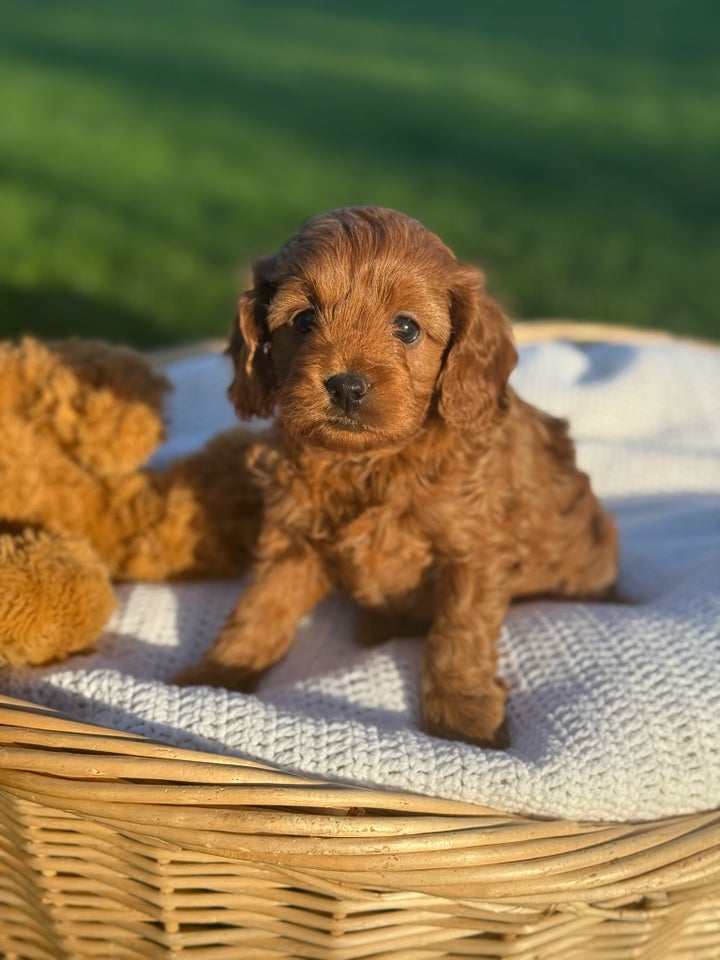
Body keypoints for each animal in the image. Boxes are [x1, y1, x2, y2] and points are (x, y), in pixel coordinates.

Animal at [176, 206, 620, 748]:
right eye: (303, 320)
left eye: (406, 328)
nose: (346, 386)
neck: (370, 462)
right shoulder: (293, 541)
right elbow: (260, 609)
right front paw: (216, 676)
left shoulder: (475, 553)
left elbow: (459, 634)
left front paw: (463, 718)